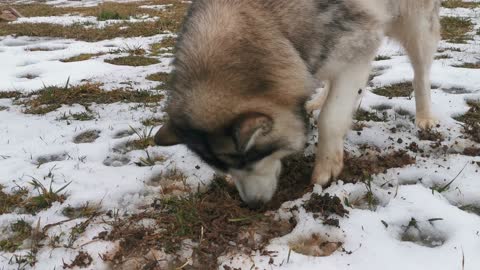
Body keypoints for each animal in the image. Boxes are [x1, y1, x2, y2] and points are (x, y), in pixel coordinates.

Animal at [156, 0, 440, 207]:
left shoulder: (358, 51)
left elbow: (331, 119)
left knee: (421, 72)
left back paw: (425, 116)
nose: (252, 205)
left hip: (415, 23)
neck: (274, 24)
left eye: (254, 157)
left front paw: (326, 166)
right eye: (223, 166)